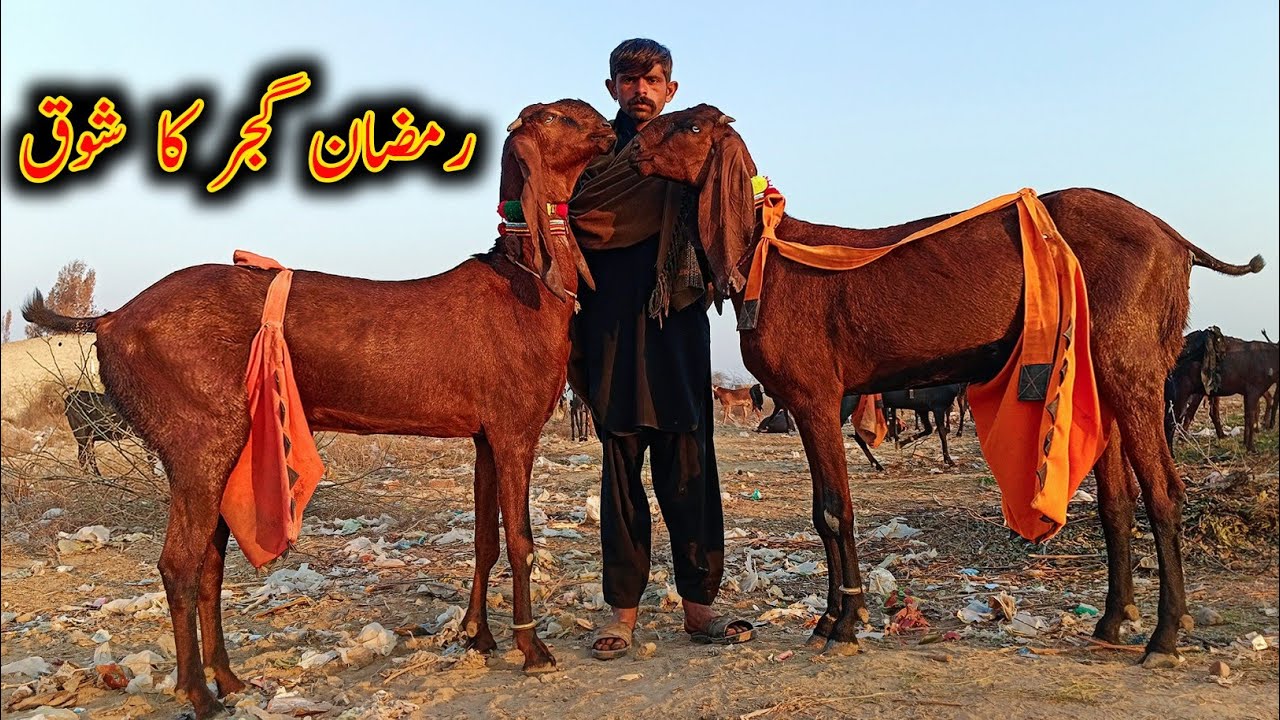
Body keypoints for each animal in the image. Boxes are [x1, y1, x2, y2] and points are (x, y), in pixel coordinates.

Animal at [23, 99, 615, 720]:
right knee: (179, 563)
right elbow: (521, 539)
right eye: (557, 118)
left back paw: (229, 680)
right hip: (199, 436)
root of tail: (111, 318)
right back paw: (199, 694)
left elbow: (485, 537)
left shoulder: (484, 435)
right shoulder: (516, 429)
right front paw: (533, 649)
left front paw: (478, 635)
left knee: (209, 565)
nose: (610, 129)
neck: (527, 287)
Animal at [629, 103, 1265, 667]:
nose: (633, 147)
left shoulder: (815, 397)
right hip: (1092, 372)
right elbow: (822, 510)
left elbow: (834, 510)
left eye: (691, 126)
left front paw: (845, 624)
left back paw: (1165, 636)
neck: (767, 257)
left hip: (1131, 366)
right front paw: (831, 619)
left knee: (1164, 491)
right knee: (1117, 499)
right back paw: (1113, 621)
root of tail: (1172, 236)